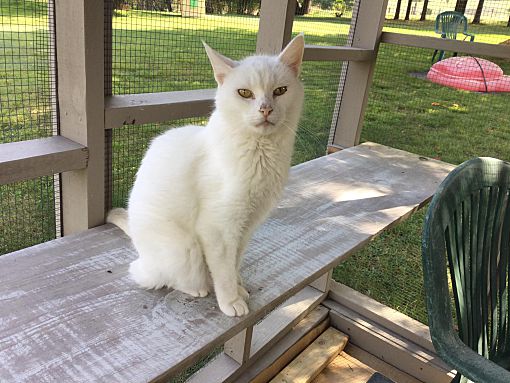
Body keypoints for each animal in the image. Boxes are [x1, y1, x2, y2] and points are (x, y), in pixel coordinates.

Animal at [108, 34, 304, 318]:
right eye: (245, 93)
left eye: (280, 91)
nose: (266, 109)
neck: (261, 153)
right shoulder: (218, 230)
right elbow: (223, 271)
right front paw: (231, 300)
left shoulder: (245, 227)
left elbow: (234, 263)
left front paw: (239, 286)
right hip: (184, 249)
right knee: (160, 277)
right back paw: (198, 287)